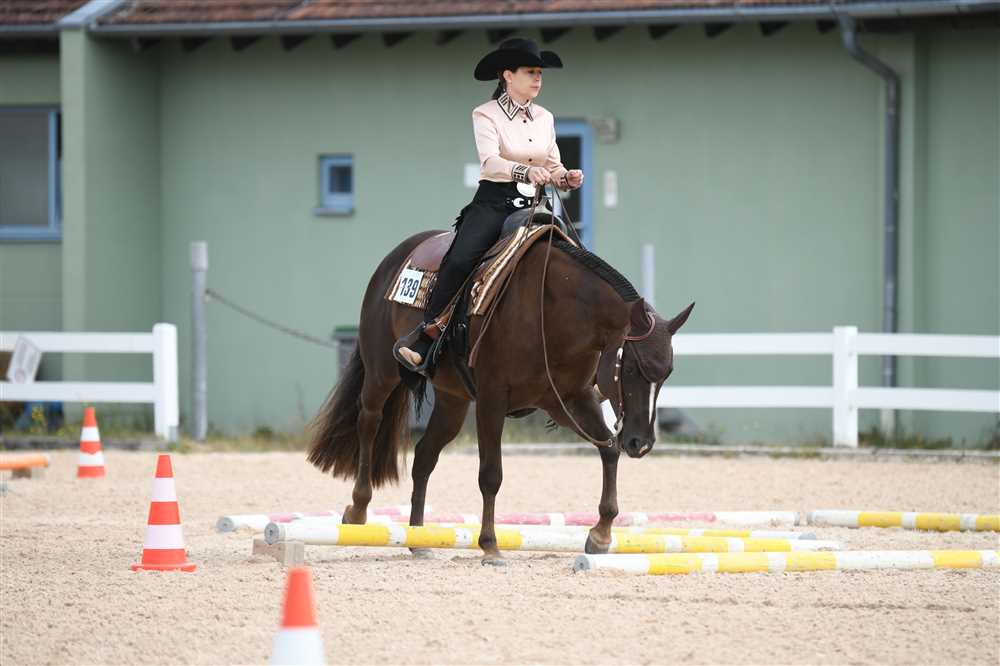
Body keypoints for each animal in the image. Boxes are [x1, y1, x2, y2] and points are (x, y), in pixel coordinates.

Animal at [307, 224, 694, 565]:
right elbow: (491, 474)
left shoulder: (570, 400)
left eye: (667, 374)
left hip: (452, 401)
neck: (556, 308)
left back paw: (419, 538)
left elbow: (608, 450)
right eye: (632, 368)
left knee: (424, 456)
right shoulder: (493, 399)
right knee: (369, 421)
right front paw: (490, 546)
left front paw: (600, 535)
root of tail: (398, 255)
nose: (641, 443)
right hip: (381, 372)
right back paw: (358, 510)